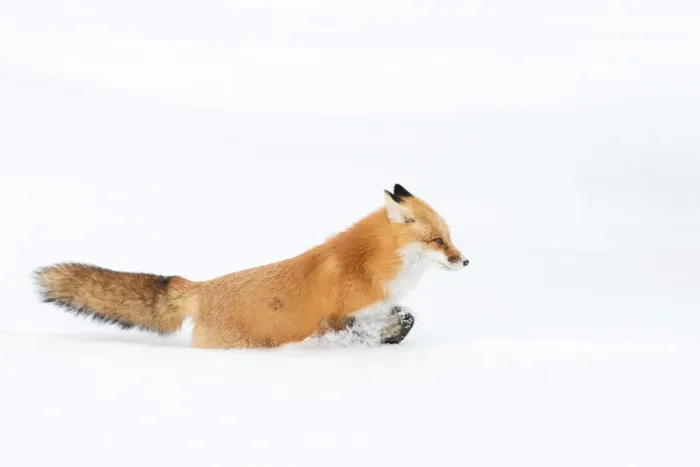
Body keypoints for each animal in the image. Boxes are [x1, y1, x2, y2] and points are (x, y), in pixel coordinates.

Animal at [34, 184, 469, 349]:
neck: (371, 265)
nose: (465, 260)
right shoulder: (333, 318)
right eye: (437, 241)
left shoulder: (381, 307)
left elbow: (406, 316)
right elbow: (351, 331)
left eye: (449, 237)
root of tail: (201, 287)